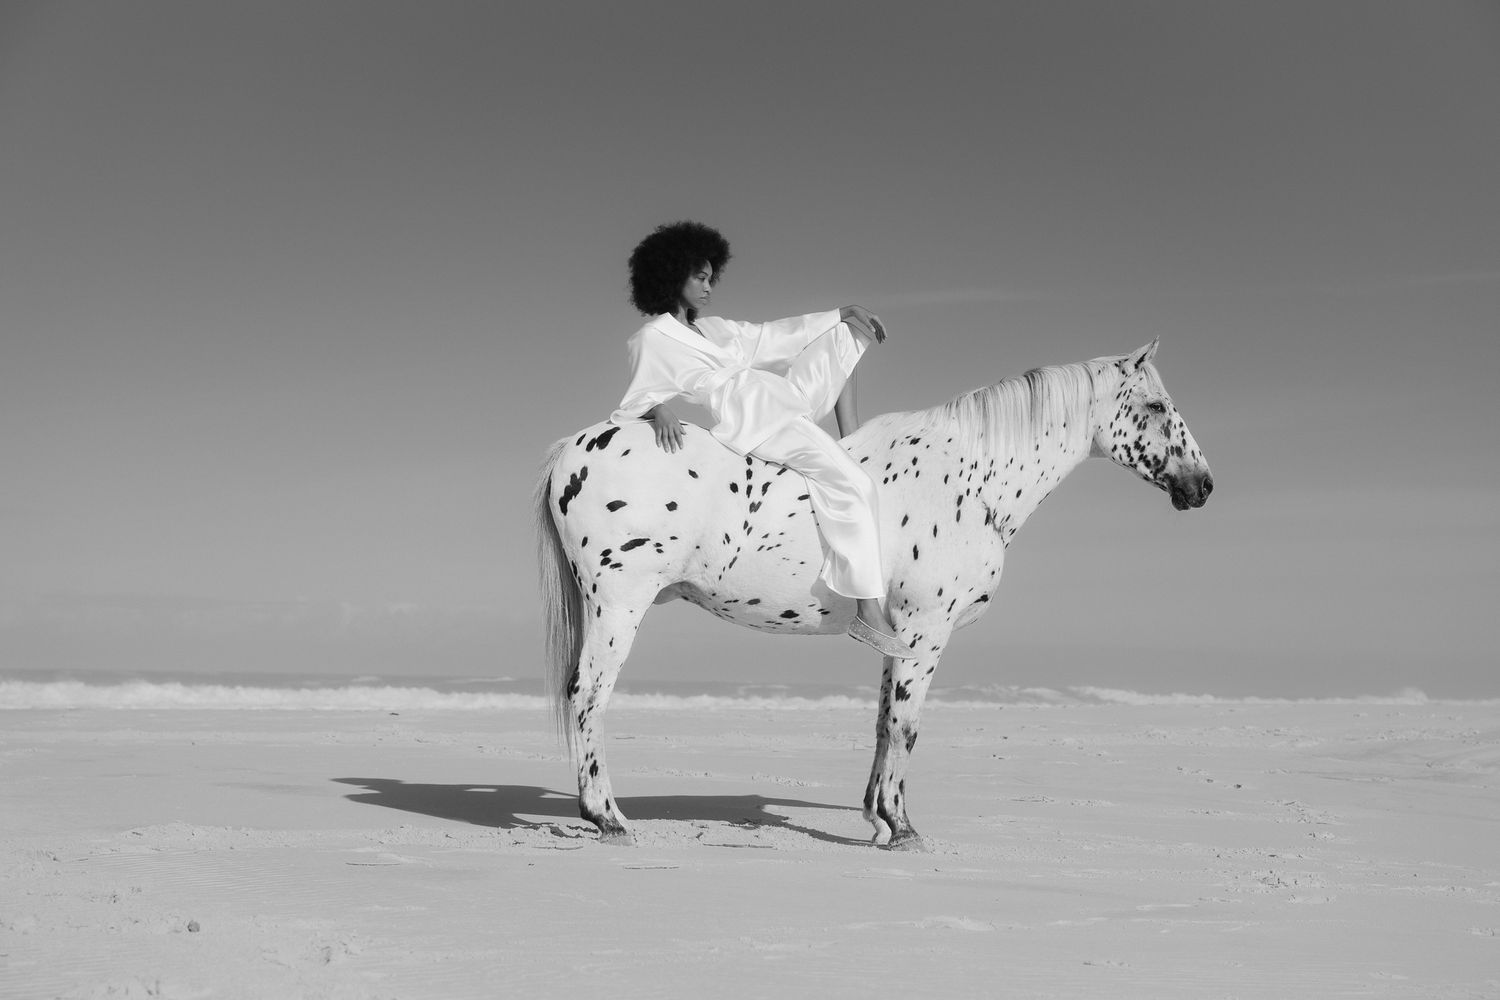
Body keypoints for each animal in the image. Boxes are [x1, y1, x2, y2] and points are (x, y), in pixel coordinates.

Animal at [534, 338, 1212, 849]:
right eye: (1156, 404)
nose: (1202, 484)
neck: (968, 478)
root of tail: (574, 448)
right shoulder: (927, 632)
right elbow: (907, 727)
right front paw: (902, 826)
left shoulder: (900, 637)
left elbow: (885, 723)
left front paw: (879, 819)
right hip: (618, 606)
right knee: (589, 695)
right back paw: (608, 818)